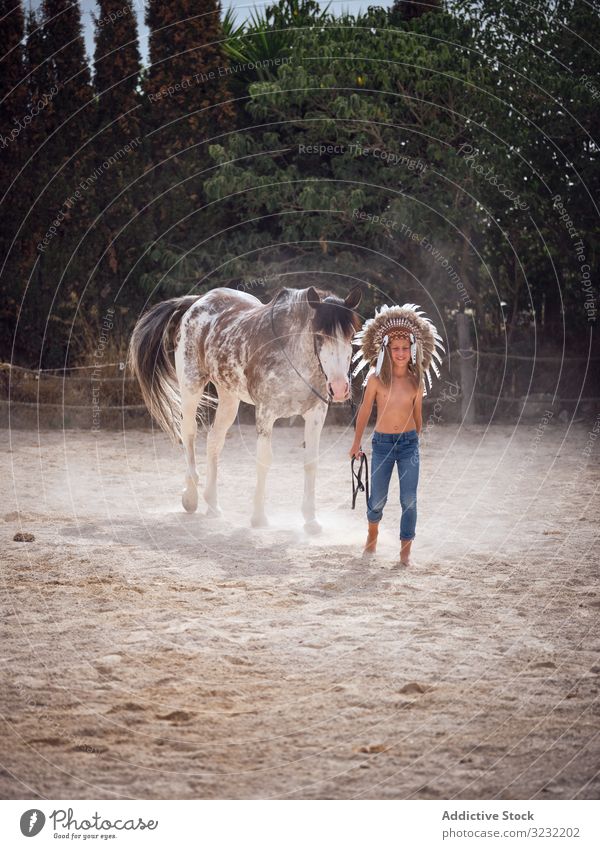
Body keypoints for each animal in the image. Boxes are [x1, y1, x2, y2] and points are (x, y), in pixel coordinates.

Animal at [130, 284, 360, 528]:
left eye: (351, 335)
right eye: (319, 335)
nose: (339, 388)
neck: (294, 356)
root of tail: (198, 301)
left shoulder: (316, 415)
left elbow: (310, 462)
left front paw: (311, 520)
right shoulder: (266, 413)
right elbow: (264, 460)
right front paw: (259, 517)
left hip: (229, 398)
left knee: (214, 441)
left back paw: (212, 504)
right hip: (191, 387)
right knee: (189, 433)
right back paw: (190, 497)